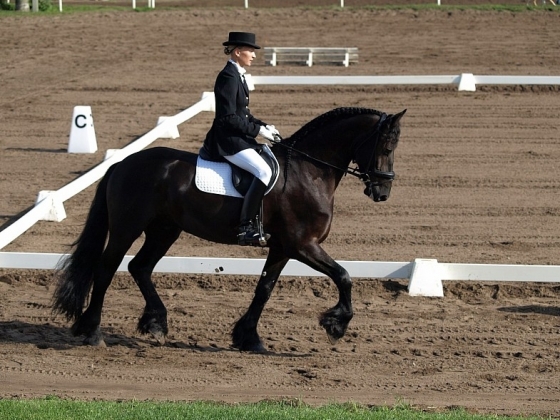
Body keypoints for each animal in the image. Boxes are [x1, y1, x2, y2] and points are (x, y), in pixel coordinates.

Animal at [52, 106, 404, 352]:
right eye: (386, 146)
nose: (383, 193)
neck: (310, 171)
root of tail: (121, 163)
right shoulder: (303, 244)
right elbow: (344, 275)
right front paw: (335, 324)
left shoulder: (282, 247)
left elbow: (264, 289)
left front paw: (249, 338)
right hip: (127, 227)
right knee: (107, 269)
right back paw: (93, 332)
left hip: (165, 230)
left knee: (140, 267)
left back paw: (155, 324)